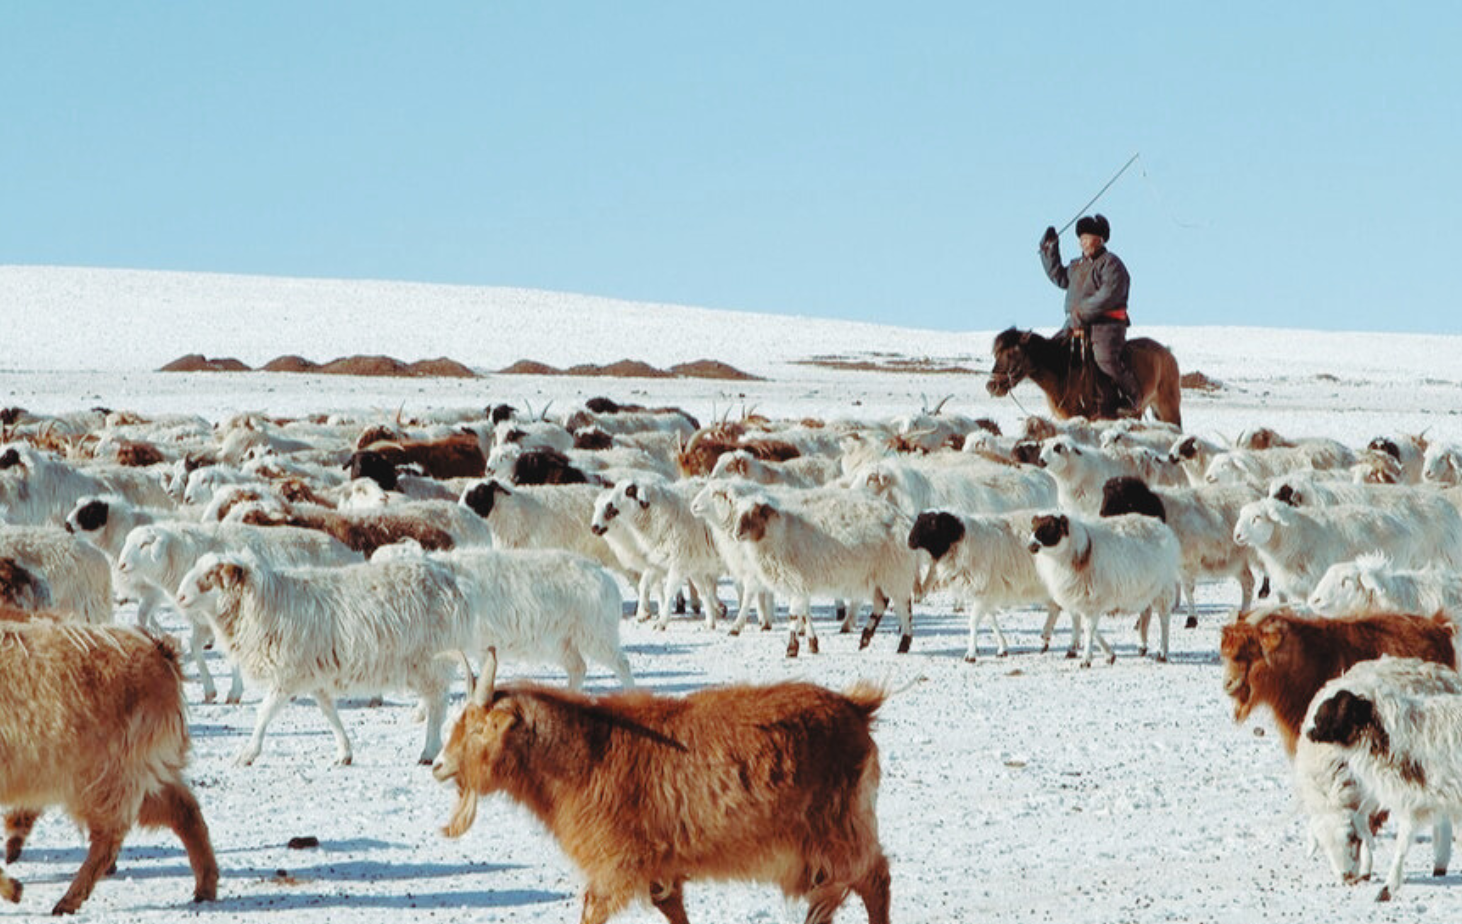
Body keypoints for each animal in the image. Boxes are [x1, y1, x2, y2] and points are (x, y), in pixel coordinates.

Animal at [0, 625, 216, 912]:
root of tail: (159, 650)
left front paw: (13, 888)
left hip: (106, 777)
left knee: (109, 838)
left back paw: (68, 899)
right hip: (145, 773)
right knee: (185, 811)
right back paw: (206, 886)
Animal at [432, 649, 888, 924]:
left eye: (479, 728)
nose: (437, 765)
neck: (587, 753)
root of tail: (857, 709)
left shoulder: (615, 865)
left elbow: (592, 908)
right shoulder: (661, 870)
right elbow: (672, 908)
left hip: (840, 831)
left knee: (875, 878)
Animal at [988, 328, 1181, 429]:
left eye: (1012, 354)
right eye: (996, 354)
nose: (991, 386)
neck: (1064, 372)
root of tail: (1168, 354)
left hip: (1168, 408)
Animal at [1023, 508, 1181, 666]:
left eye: (1050, 527)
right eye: (1033, 527)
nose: (1030, 546)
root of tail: (1161, 526)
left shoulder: (1093, 598)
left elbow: (1089, 628)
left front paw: (1086, 659)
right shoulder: (1083, 600)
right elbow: (1088, 626)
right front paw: (1109, 654)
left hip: (1163, 588)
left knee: (1164, 619)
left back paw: (1163, 653)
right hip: (1145, 589)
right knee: (1146, 613)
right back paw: (1142, 647)